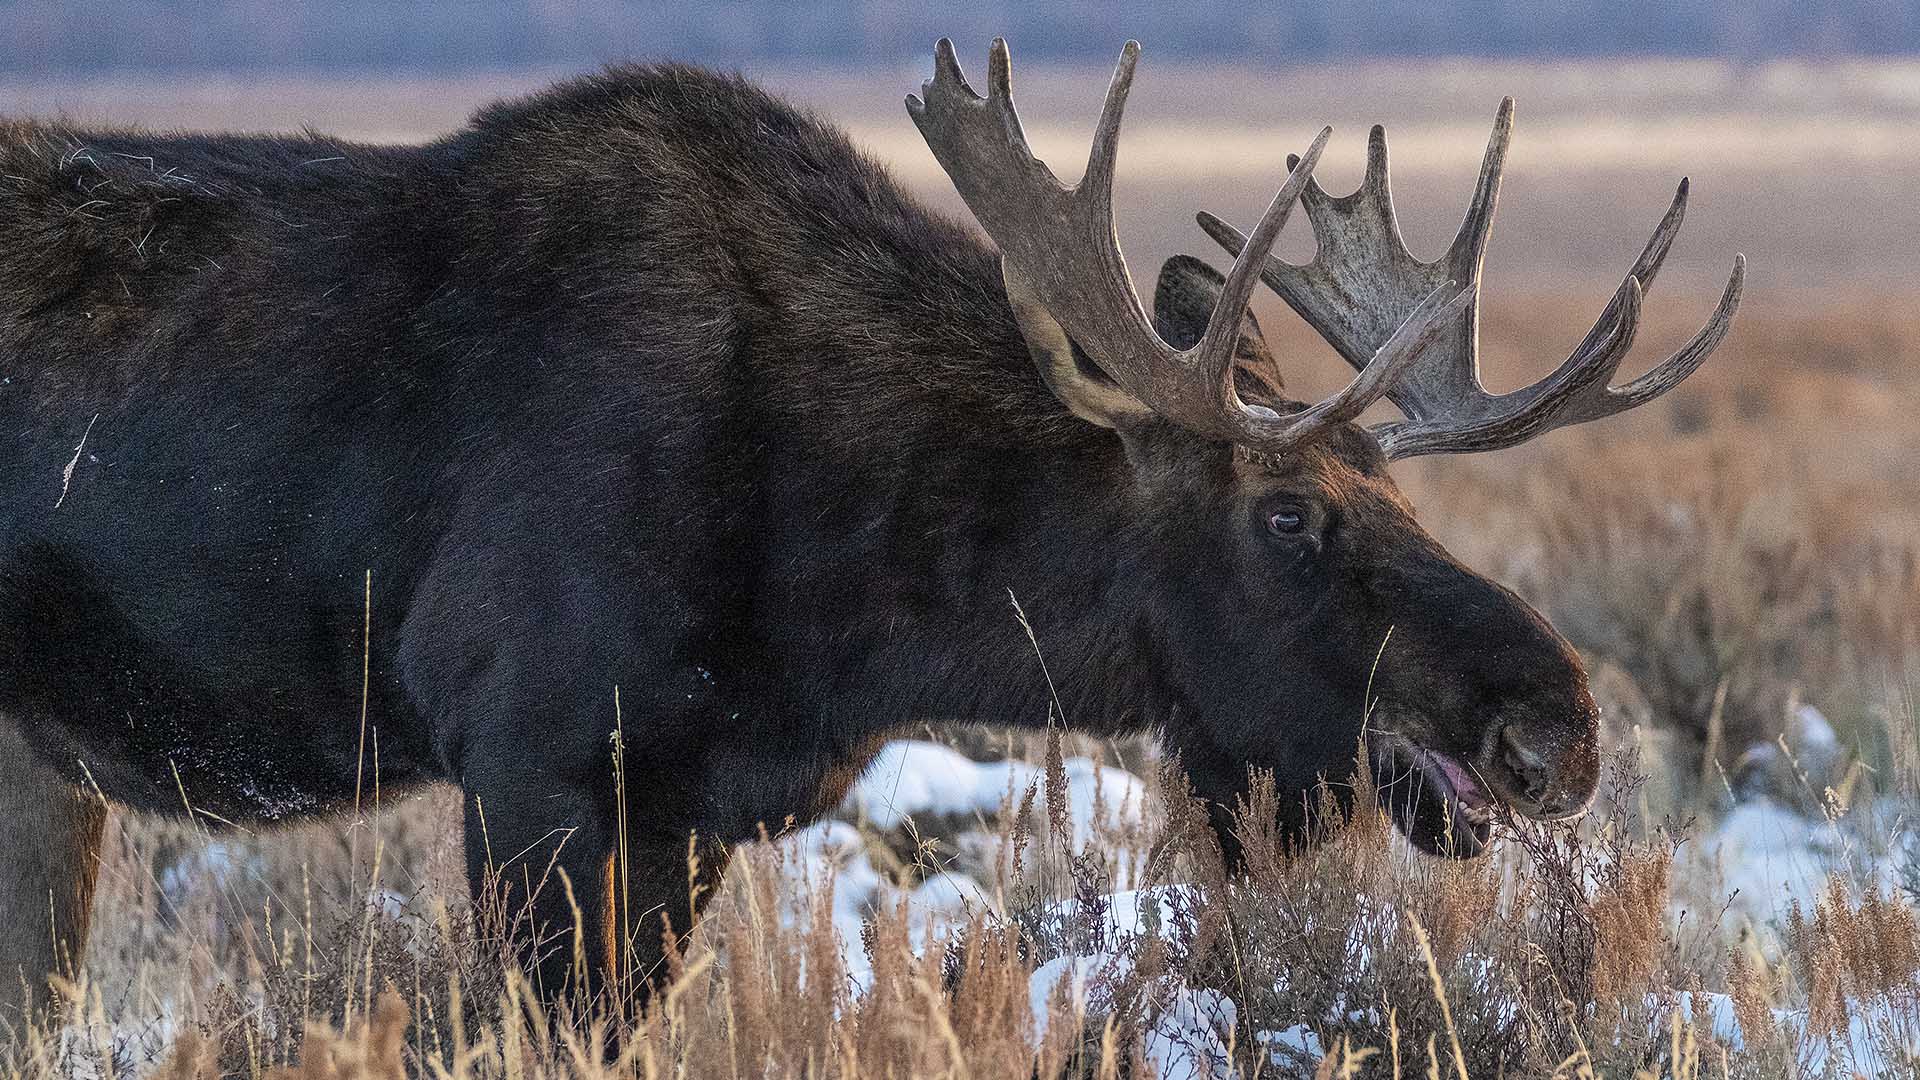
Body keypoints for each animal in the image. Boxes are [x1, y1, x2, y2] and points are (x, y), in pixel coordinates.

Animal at [0, 39, 1743, 1014]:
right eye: (1290, 514)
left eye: (1406, 494)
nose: (1557, 729)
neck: (852, 615)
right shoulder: (530, 761)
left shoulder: (690, 817)